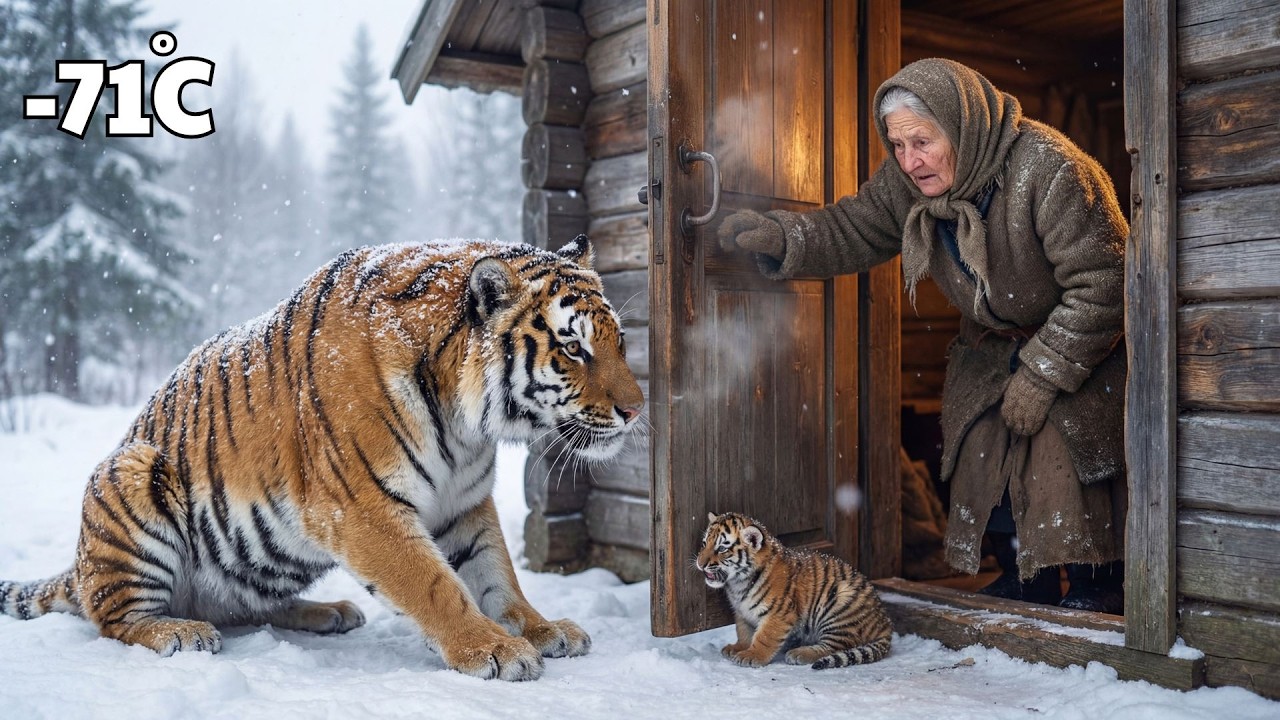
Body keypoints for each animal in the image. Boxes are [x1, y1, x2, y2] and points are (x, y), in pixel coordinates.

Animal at [0, 235, 644, 682]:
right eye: (573, 347)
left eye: (620, 341)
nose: (637, 410)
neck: (467, 426)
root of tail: (78, 564)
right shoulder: (364, 509)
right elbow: (435, 585)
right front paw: (496, 650)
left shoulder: (463, 505)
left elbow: (497, 579)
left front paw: (541, 629)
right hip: (129, 475)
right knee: (114, 618)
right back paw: (178, 632)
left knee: (241, 608)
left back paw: (328, 612)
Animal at [696, 512, 892, 669]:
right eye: (705, 543)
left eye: (722, 548)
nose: (699, 563)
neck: (738, 583)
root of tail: (885, 622)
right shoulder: (742, 612)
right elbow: (743, 631)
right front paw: (738, 647)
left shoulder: (778, 614)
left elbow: (765, 637)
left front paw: (751, 656)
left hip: (839, 608)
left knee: (835, 646)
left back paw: (800, 653)